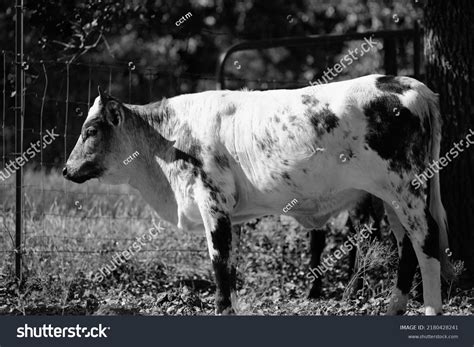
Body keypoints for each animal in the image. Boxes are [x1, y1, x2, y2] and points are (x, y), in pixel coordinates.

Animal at [62, 75, 452, 316]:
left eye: (91, 130)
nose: (66, 170)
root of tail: (409, 84)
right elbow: (230, 266)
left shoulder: (213, 201)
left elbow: (220, 264)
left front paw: (222, 309)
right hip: (391, 199)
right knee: (407, 248)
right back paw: (394, 308)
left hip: (406, 188)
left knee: (426, 240)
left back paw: (431, 308)